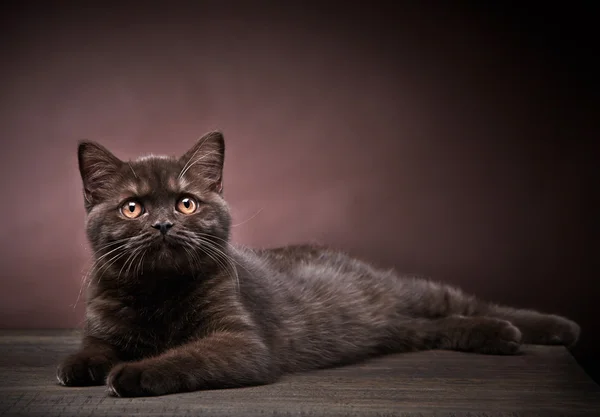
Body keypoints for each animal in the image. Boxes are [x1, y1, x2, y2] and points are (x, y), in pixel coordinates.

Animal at [57, 130, 580, 396]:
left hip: (412, 291)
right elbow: (93, 348)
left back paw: (554, 327)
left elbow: (187, 356)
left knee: (463, 302)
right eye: (132, 208)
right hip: (402, 329)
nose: (164, 224)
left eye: (187, 203)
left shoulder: (241, 343)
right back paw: (501, 336)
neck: (157, 292)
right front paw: (79, 367)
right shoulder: (102, 324)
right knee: (443, 326)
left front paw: (132, 373)